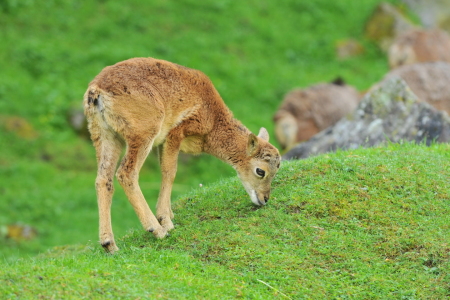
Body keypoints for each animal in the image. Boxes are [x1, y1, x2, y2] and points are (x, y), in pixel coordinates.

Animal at [82, 56, 280, 253]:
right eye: (260, 171)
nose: (264, 199)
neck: (212, 117)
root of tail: (96, 91)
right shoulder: (176, 132)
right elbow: (170, 172)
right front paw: (166, 221)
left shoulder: (161, 144)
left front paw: (169, 214)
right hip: (142, 134)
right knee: (126, 173)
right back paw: (157, 230)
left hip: (104, 135)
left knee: (103, 179)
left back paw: (109, 244)